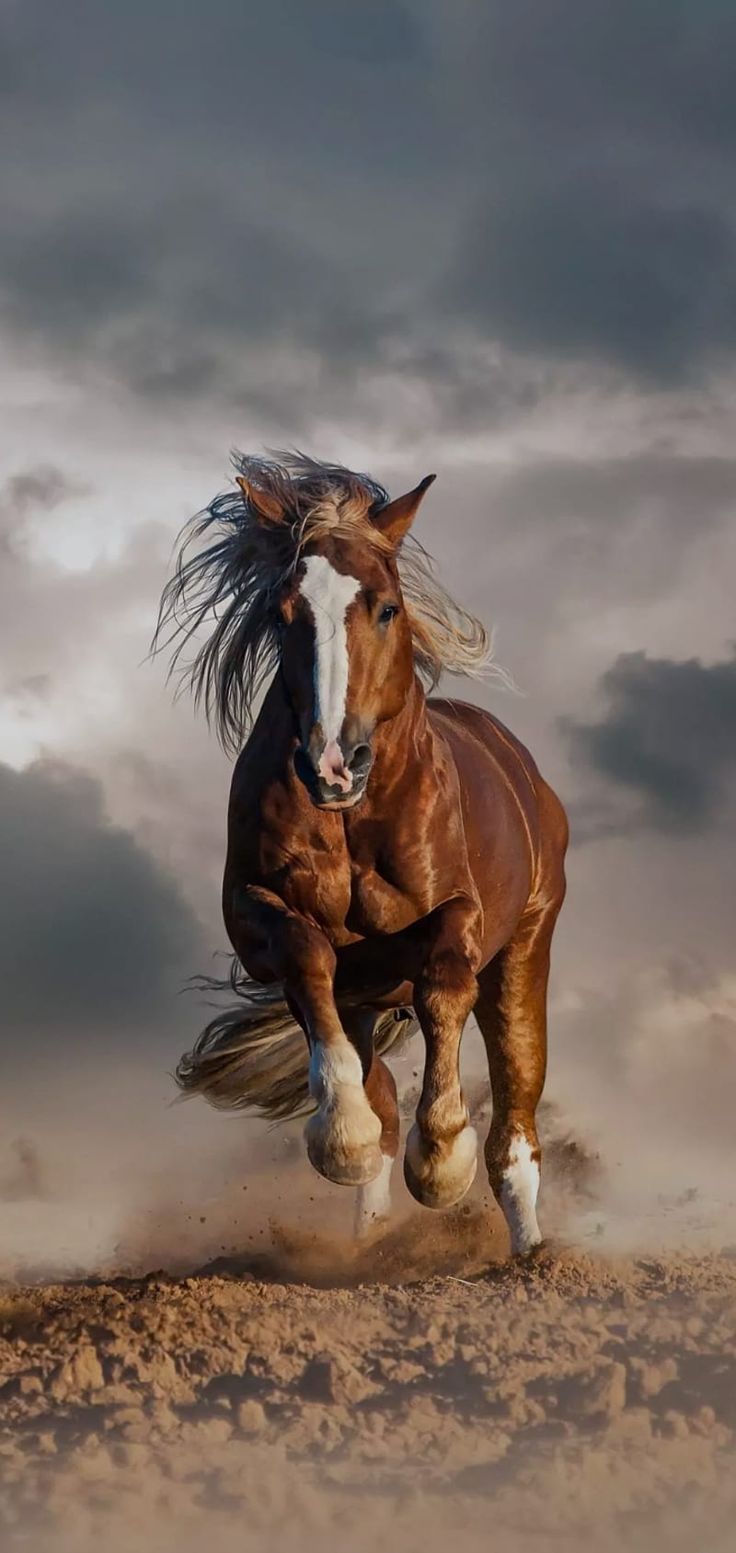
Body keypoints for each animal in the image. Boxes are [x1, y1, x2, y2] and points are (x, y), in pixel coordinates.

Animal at [155, 452, 568, 1256]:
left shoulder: (460, 915)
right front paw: (340, 1137)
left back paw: (530, 1252)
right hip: (368, 1000)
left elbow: (444, 982)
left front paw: (439, 1160)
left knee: (516, 1114)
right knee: (379, 1096)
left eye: (386, 607)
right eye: (283, 614)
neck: (354, 820)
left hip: (525, 950)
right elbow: (307, 956)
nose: (332, 764)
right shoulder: (256, 917)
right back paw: (370, 1237)